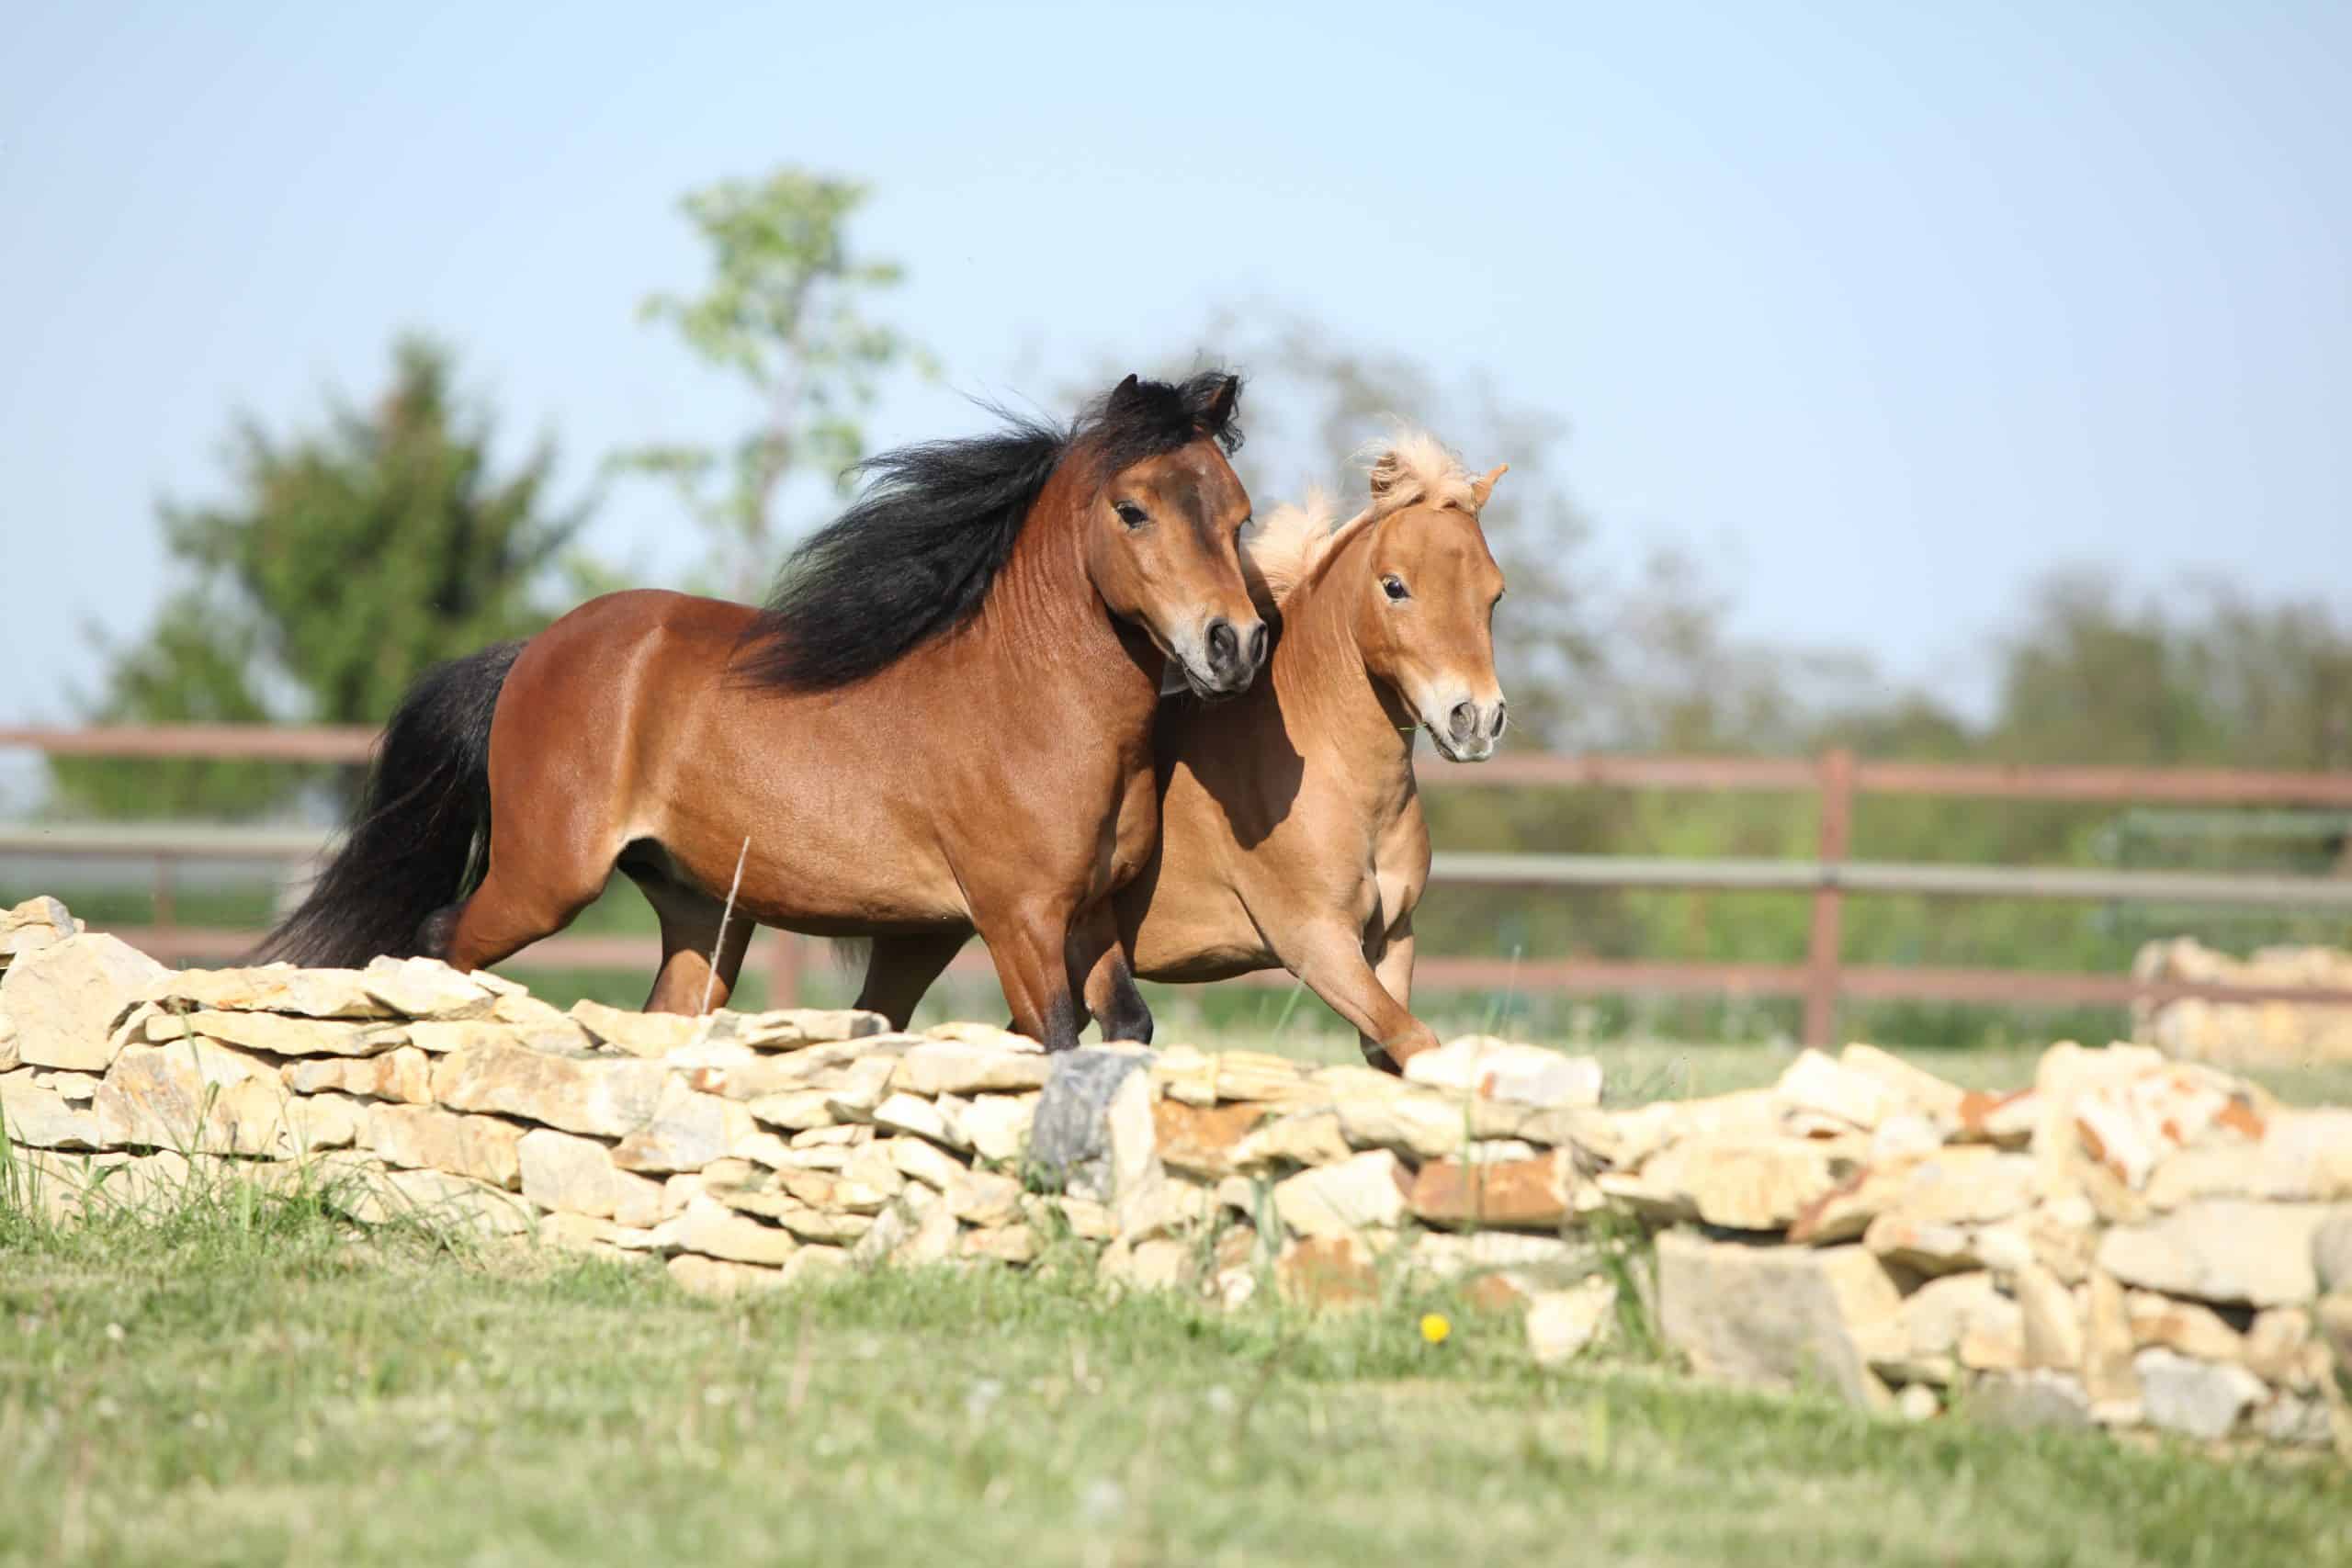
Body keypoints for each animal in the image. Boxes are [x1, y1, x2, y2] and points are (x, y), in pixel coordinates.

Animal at [262, 373, 1270, 1048]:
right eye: (1133, 510)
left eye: (1239, 513)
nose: (1236, 644)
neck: (1034, 705)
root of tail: (531, 654)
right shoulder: (1017, 918)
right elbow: (1056, 1038)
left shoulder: (1089, 917)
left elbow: (1127, 1029)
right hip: (546, 879)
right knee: (441, 939)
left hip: (700, 909)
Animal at [1072, 434, 1505, 1072]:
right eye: (1395, 586)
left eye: (1495, 594)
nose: (1475, 719)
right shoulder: (1316, 943)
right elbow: (1415, 1040)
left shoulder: (1393, 939)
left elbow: (1390, 1050)